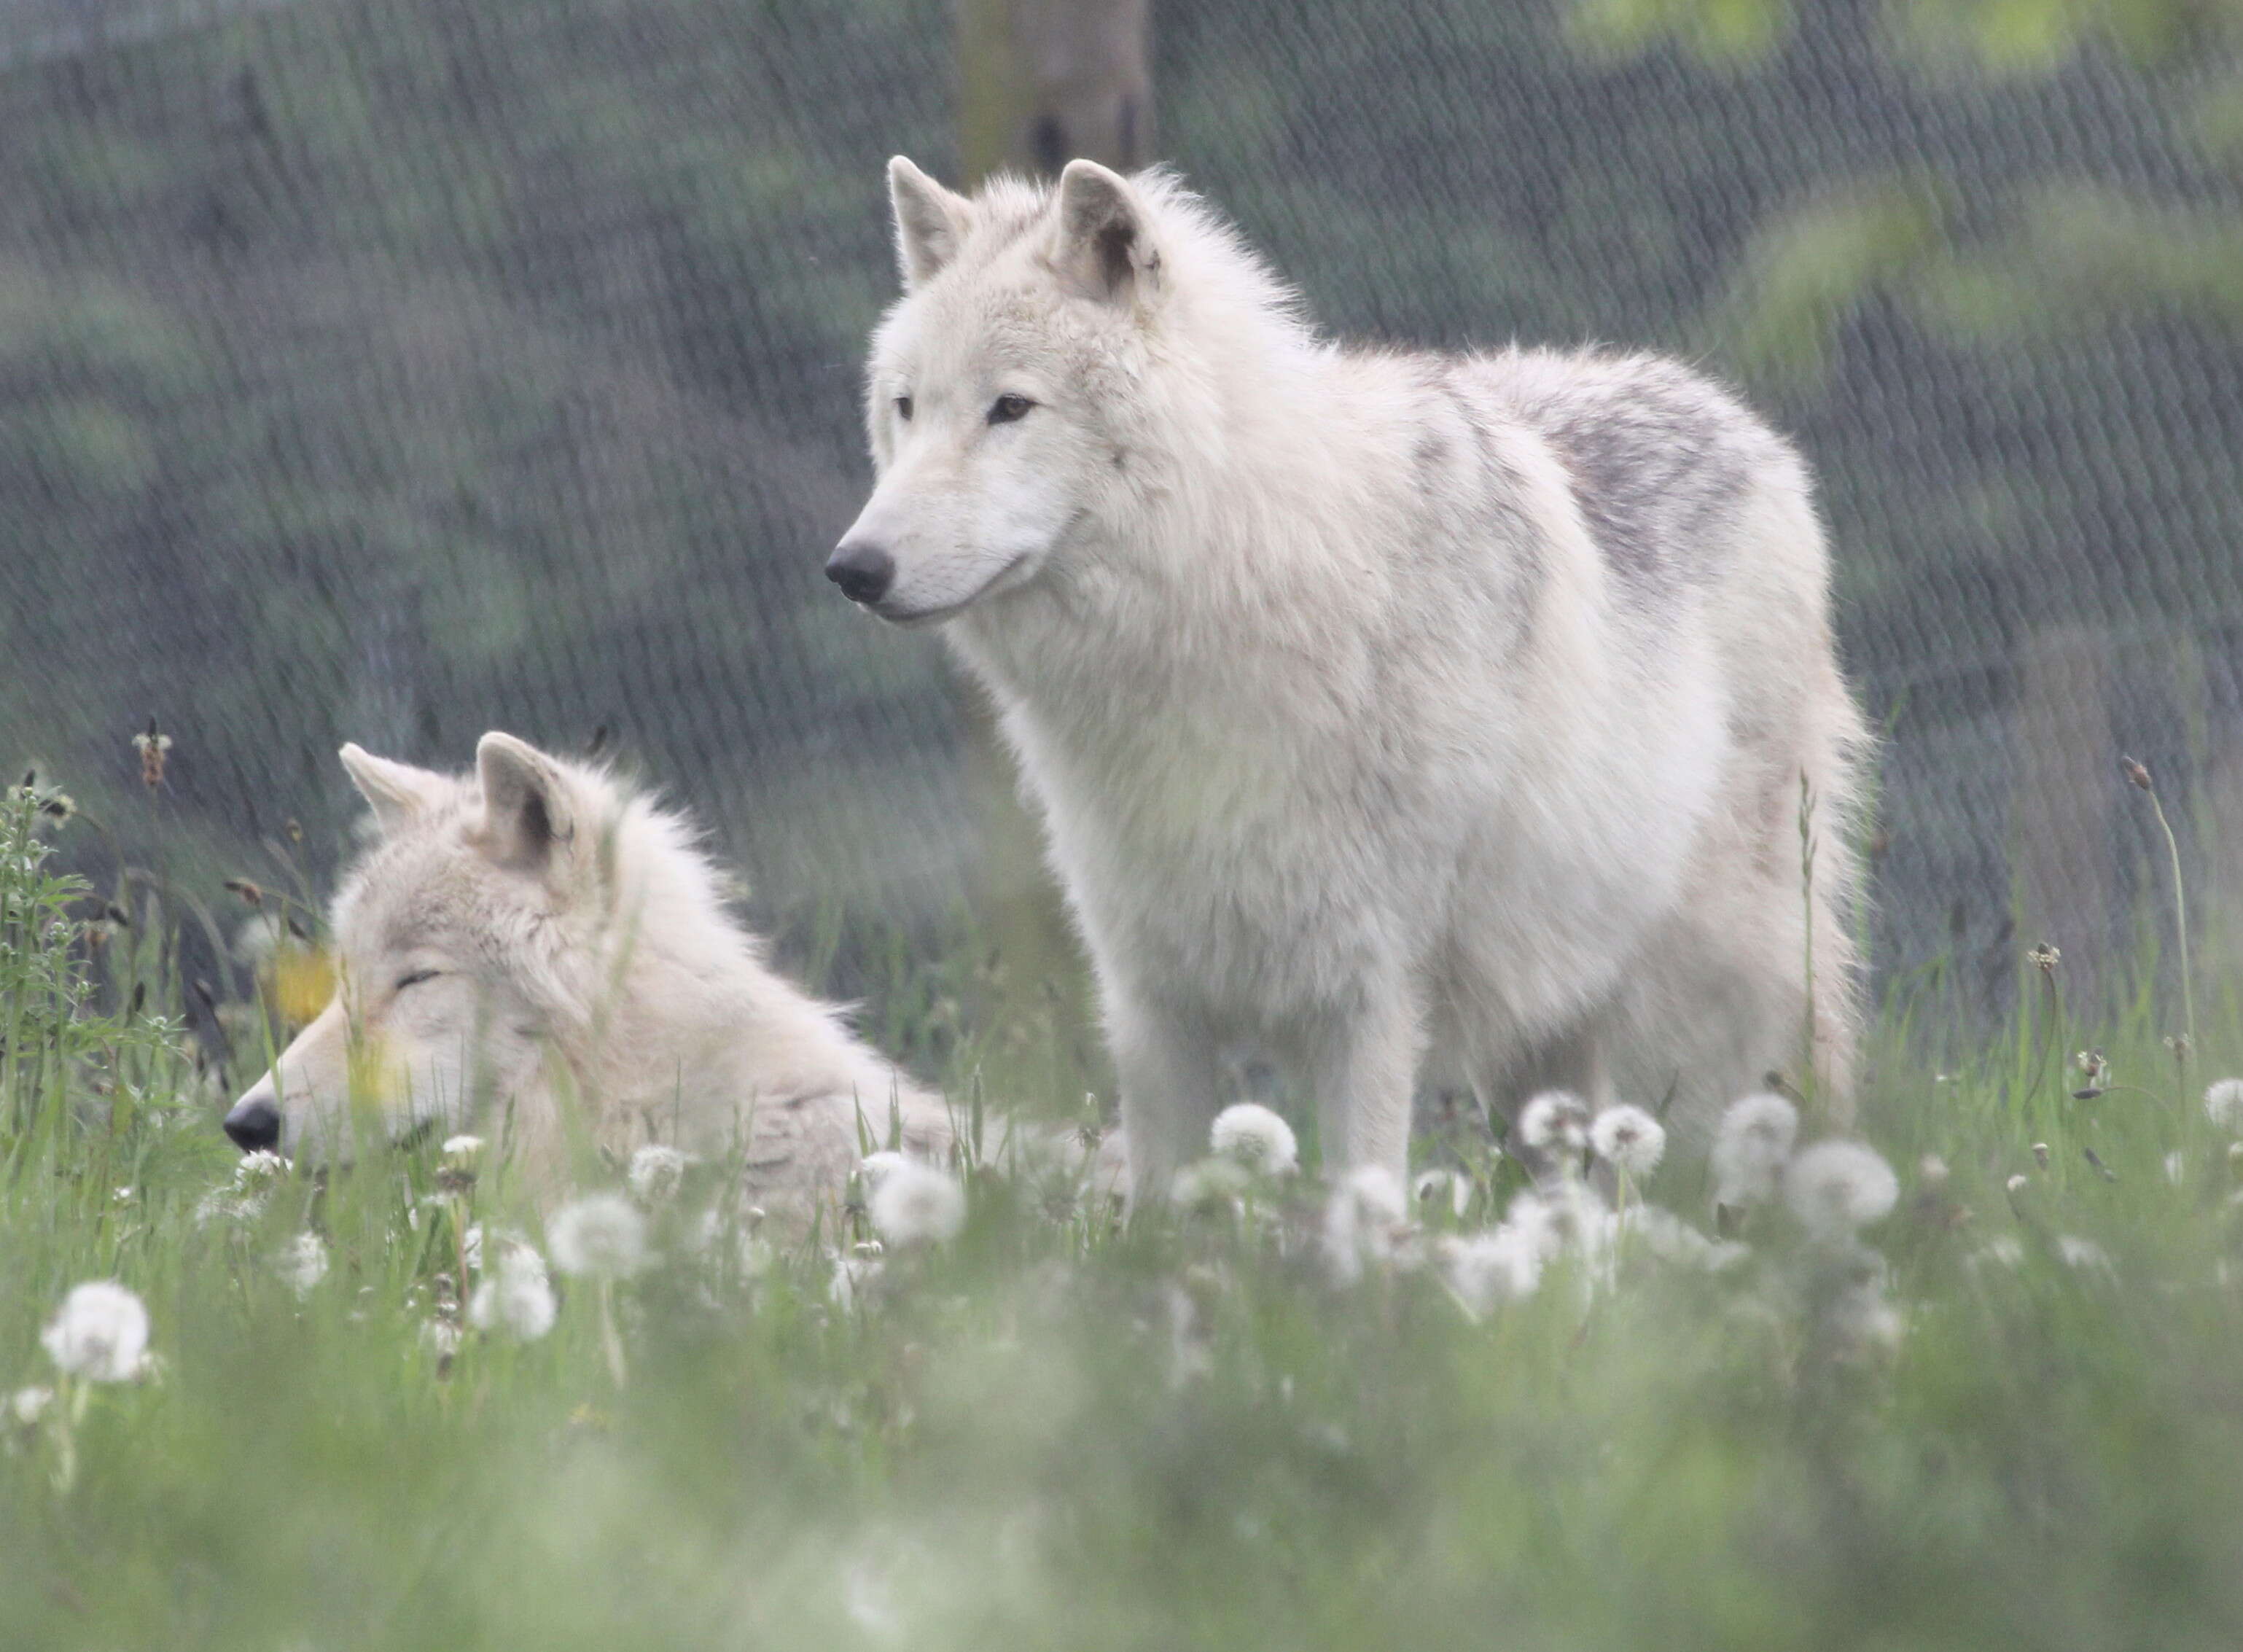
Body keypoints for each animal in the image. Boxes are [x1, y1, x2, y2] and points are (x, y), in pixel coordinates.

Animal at [834, 158, 1866, 1203]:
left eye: (1010, 407)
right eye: (906, 406)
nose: (852, 569)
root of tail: (1730, 411)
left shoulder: (1367, 1000)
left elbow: (1361, 1199)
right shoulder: (1152, 1005)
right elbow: (1159, 1213)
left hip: (1712, 1011)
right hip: (1547, 1035)